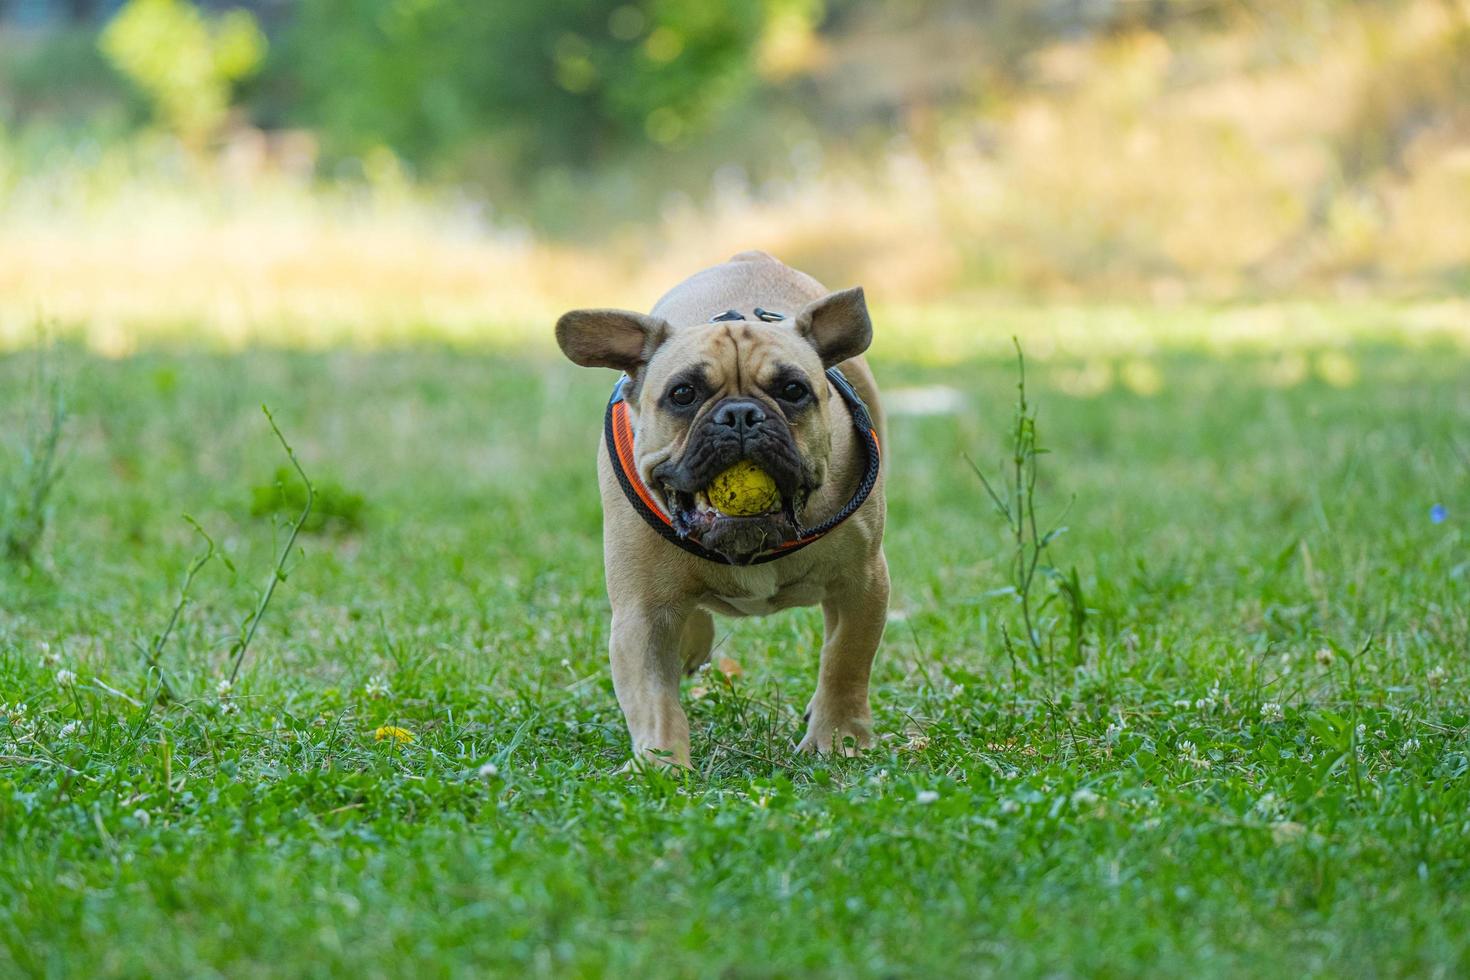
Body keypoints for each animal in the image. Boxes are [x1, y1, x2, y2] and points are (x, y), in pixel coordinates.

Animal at [555, 251, 887, 764]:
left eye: (793, 390)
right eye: (683, 394)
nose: (741, 415)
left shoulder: (863, 584)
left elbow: (845, 661)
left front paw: (838, 739)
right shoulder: (640, 615)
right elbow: (653, 699)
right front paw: (662, 763)